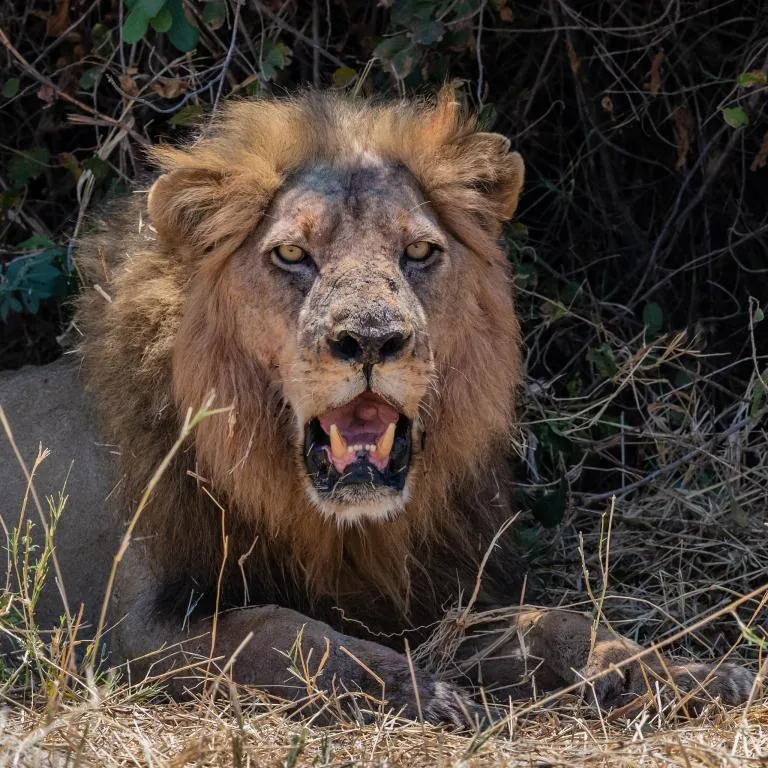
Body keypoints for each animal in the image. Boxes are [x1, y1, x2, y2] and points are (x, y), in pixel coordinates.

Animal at [73, 91, 756, 728]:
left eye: (420, 252)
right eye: (292, 256)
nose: (372, 338)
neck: (344, 529)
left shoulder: (441, 596)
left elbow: (560, 625)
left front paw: (688, 673)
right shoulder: (137, 632)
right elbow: (284, 632)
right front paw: (420, 693)